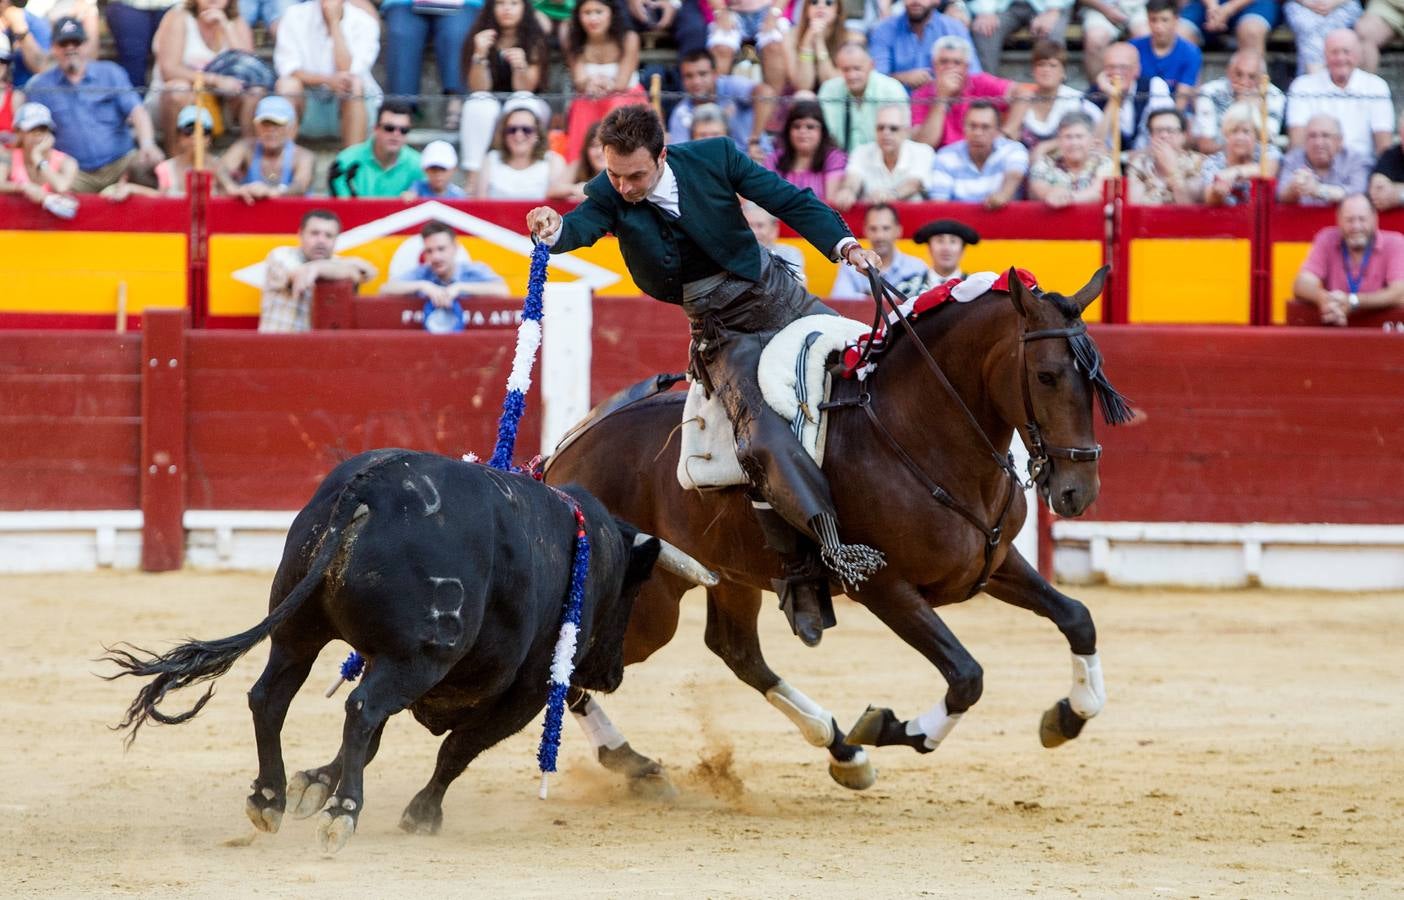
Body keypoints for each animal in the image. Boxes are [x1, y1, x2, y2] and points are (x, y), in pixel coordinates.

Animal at [105, 446, 713, 848]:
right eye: (634, 591)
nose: (610, 676)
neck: (593, 550)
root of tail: (369, 488)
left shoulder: (386, 658)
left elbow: (375, 742)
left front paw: (313, 785)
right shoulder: (526, 690)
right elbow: (457, 749)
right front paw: (420, 814)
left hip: (299, 632)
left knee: (272, 698)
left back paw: (270, 798)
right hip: (417, 658)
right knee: (360, 708)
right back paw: (343, 814)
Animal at [541, 268, 1123, 791]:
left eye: (1096, 380)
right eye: (1047, 375)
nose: (1079, 491)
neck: (920, 430)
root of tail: (562, 456)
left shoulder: (994, 563)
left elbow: (1078, 617)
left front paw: (1069, 715)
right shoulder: (882, 586)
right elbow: (966, 676)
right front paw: (890, 727)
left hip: (726, 577)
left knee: (736, 652)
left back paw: (840, 750)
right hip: (650, 604)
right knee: (572, 662)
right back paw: (632, 762)